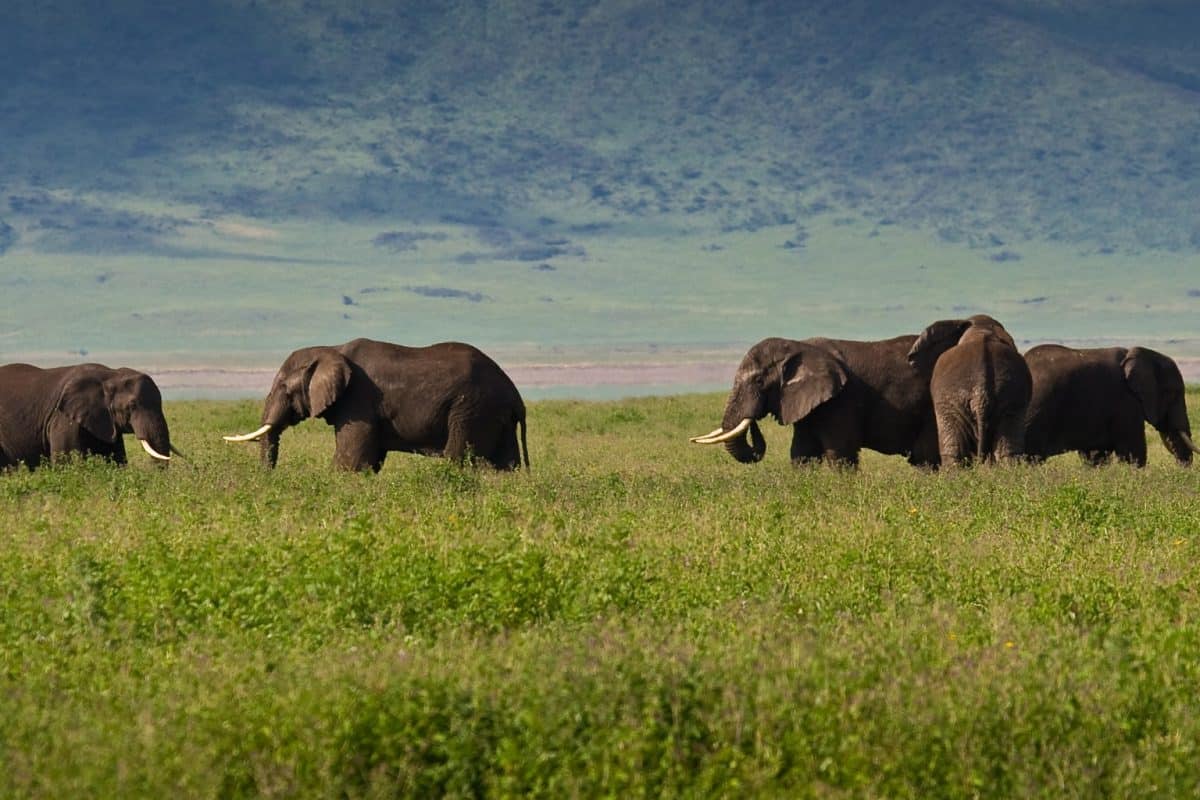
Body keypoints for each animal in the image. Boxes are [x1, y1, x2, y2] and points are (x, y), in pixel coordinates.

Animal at [223, 338, 528, 472]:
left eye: (284, 388)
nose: (268, 479)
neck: (331, 349)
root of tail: (516, 397)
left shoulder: (358, 399)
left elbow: (352, 460)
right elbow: (371, 459)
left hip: (472, 409)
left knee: (460, 459)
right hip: (494, 414)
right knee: (505, 464)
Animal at [689, 335, 940, 467]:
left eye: (759, 380)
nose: (754, 422)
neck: (797, 345)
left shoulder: (840, 400)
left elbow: (840, 452)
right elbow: (801, 453)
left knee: (926, 458)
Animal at [906, 314, 1032, 465]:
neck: (979, 327)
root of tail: (981, 394)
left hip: (952, 402)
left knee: (954, 451)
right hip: (1011, 399)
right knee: (1007, 451)